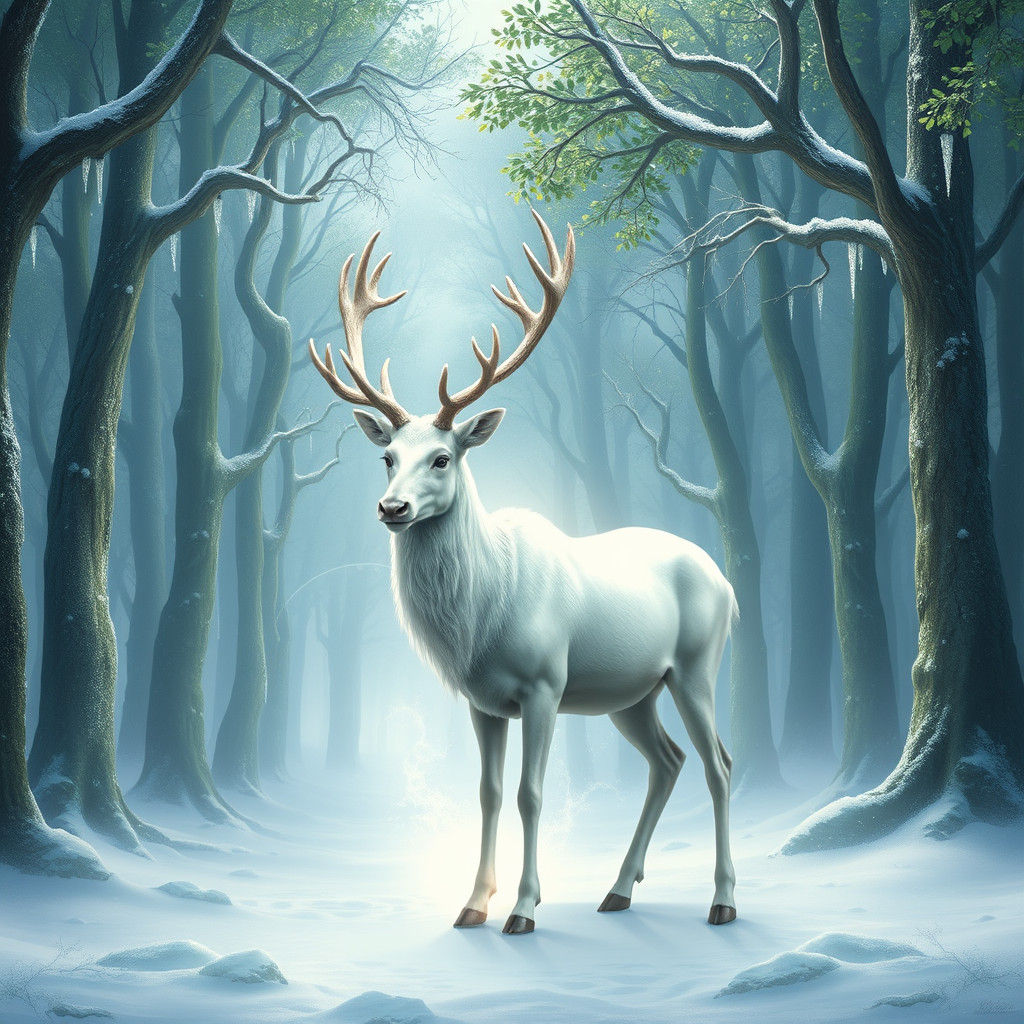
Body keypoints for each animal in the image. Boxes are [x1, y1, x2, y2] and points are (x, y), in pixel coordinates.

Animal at [309, 211, 737, 935]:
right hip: (632, 692)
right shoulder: (482, 700)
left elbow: (531, 794)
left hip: (696, 667)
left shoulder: (544, 684)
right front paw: (471, 904)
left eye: (443, 458)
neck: (480, 621)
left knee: (720, 766)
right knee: (668, 762)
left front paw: (524, 908)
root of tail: (728, 582)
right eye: (388, 457)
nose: (392, 509)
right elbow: (485, 793)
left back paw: (723, 899)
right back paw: (618, 889)